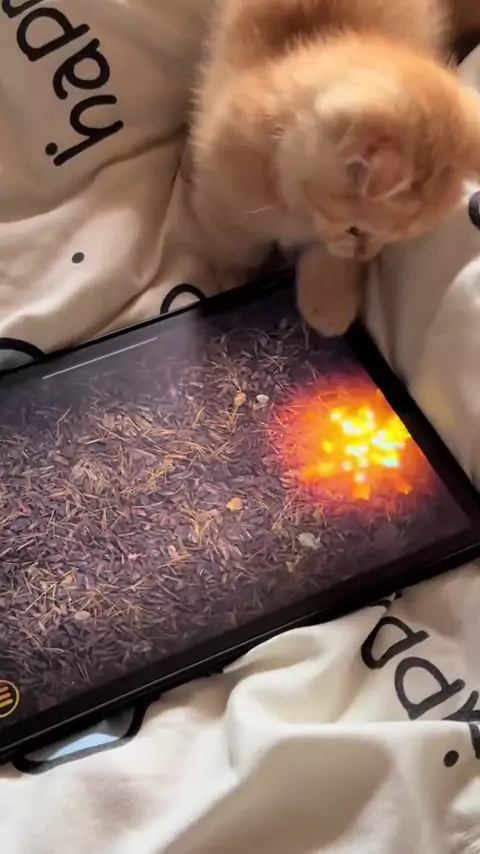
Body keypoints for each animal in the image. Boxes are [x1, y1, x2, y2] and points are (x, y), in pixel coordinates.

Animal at [188, 0, 480, 336]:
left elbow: (330, 261)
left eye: (391, 240)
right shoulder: (219, 196)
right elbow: (233, 245)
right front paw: (234, 279)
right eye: (355, 230)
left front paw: (327, 305)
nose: (367, 254)